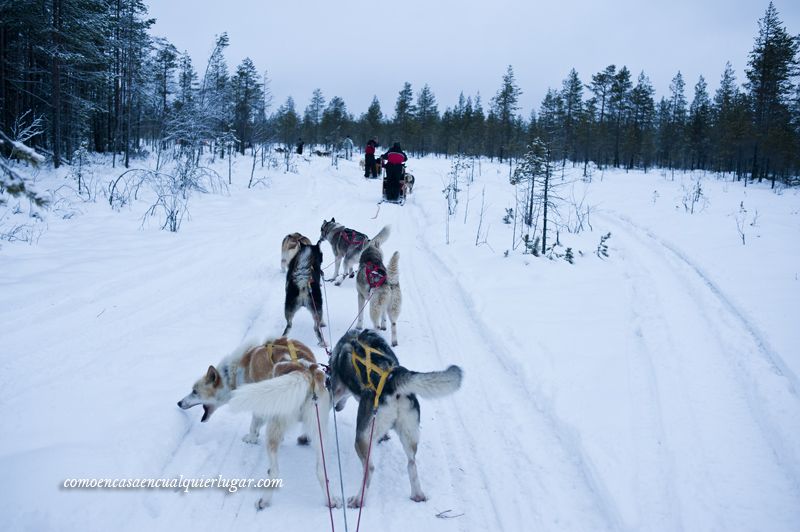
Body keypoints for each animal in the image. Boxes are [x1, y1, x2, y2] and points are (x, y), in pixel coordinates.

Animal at [177, 338, 340, 510]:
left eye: (194, 391)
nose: (179, 403)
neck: (237, 367)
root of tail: (304, 372)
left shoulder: (261, 406)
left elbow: (254, 425)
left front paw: (251, 438)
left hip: (273, 432)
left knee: (274, 472)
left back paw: (264, 500)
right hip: (320, 434)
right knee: (322, 472)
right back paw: (331, 500)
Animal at [326, 328, 462, 508]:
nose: (337, 408)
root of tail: (392, 378)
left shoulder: (336, 390)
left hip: (361, 439)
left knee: (370, 469)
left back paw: (358, 500)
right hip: (409, 436)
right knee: (411, 464)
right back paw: (418, 495)